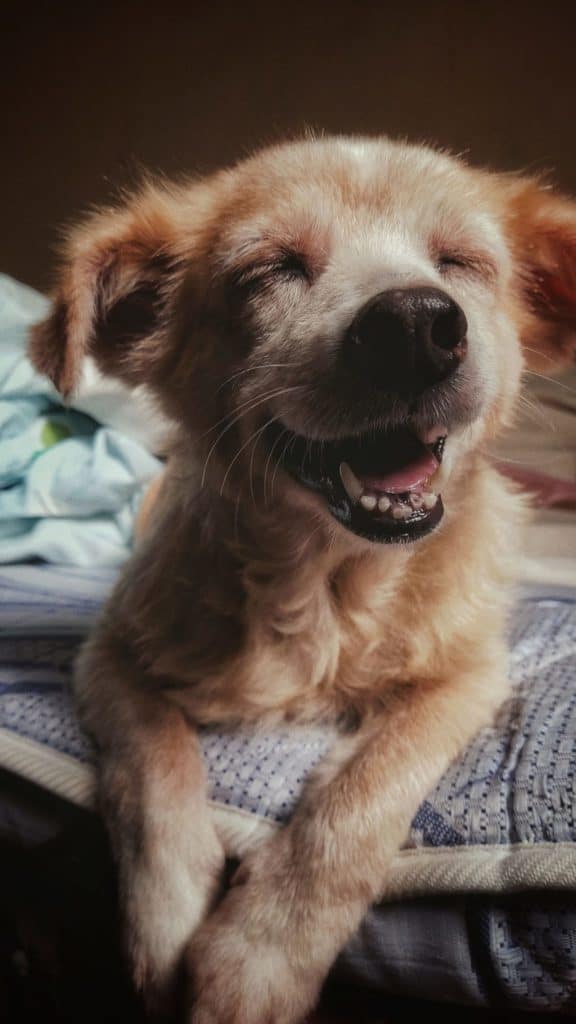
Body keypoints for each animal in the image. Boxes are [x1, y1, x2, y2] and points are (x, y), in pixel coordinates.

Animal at [30, 136, 573, 1024]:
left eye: (460, 263)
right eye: (272, 269)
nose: (417, 326)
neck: (327, 585)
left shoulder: (470, 675)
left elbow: (361, 792)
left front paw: (261, 956)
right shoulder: (106, 653)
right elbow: (152, 767)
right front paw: (168, 923)